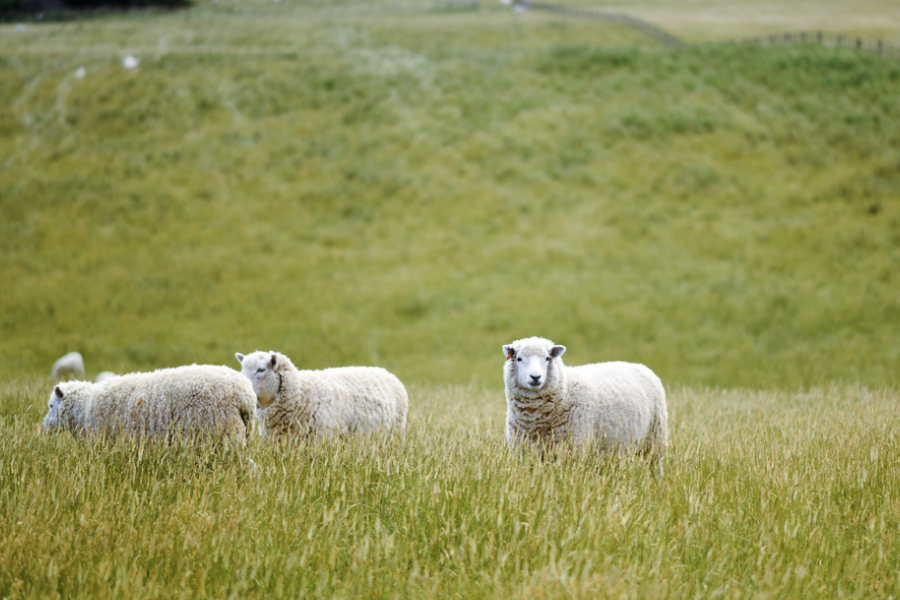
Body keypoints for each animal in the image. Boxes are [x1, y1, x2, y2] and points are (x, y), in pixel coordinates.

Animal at [500, 336, 668, 462]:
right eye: (519, 358)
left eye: (547, 358)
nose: (535, 377)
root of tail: (640, 366)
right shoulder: (524, 452)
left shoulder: (574, 449)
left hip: (655, 439)